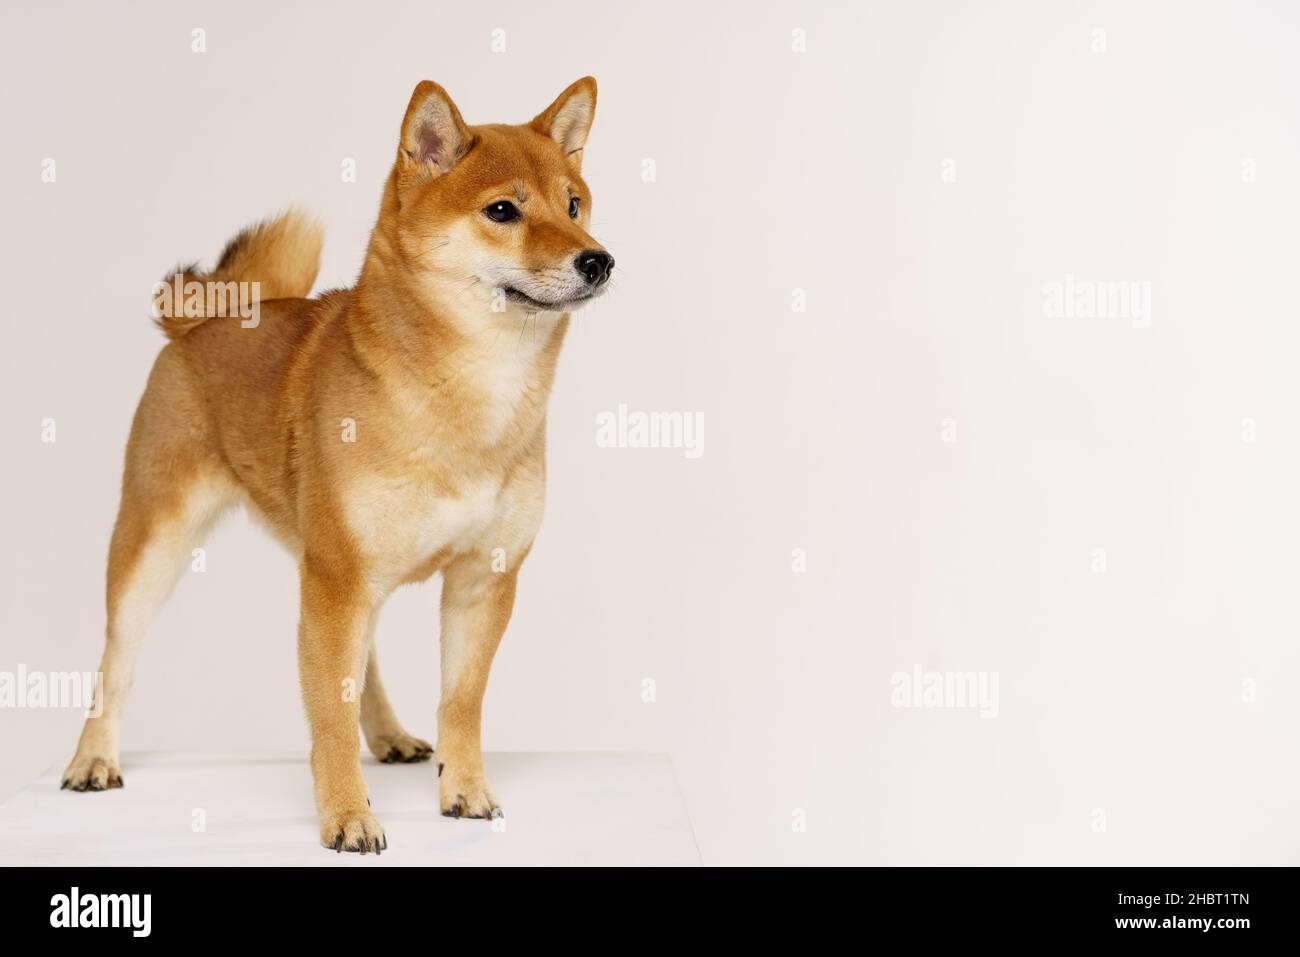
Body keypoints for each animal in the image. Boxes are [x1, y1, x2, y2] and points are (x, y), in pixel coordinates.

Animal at [57, 74, 613, 852]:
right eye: (503, 210)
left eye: (574, 205)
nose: (598, 258)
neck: (472, 400)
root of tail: (202, 318)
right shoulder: (337, 579)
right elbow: (326, 715)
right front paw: (348, 814)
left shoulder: (480, 580)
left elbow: (461, 702)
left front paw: (465, 790)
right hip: (156, 541)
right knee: (116, 660)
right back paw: (93, 758)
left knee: (364, 663)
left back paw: (388, 734)